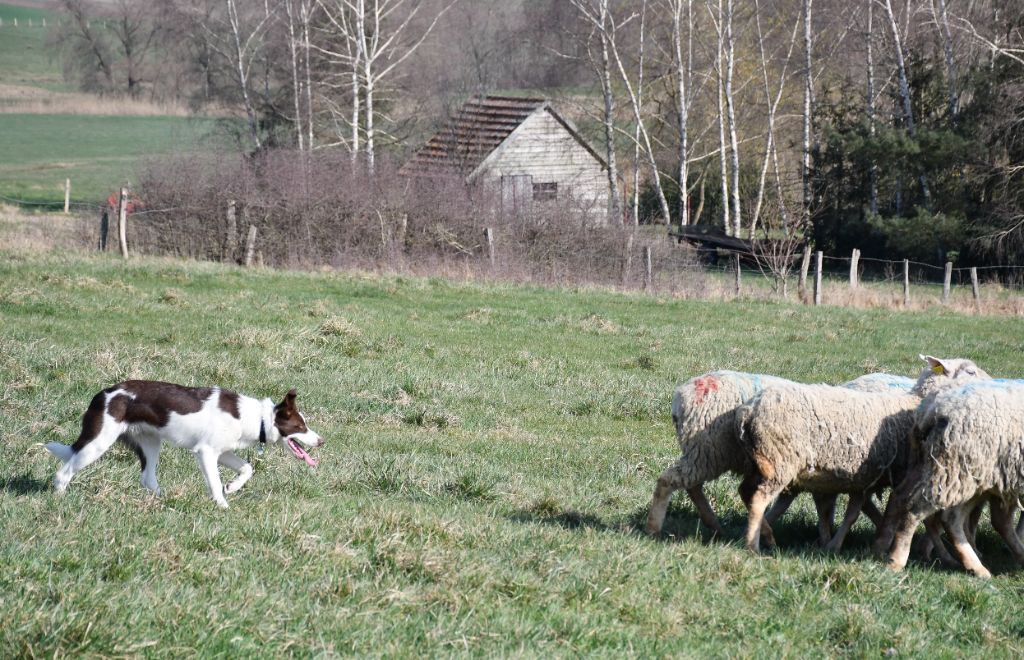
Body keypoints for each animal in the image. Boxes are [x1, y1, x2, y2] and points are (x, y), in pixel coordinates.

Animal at [45, 378, 319, 507]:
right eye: (301, 427)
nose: (321, 440)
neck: (256, 418)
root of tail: (103, 393)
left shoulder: (222, 451)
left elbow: (247, 468)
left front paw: (233, 487)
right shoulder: (206, 452)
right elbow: (215, 483)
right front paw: (223, 505)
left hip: (151, 443)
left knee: (147, 478)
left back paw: (164, 500)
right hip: (98, 442)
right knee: (64, 471)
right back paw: (59, 498)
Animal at [643, 370, 917, 540]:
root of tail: (682, 397)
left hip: (704, 451)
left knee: (692, 484)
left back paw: (718, 526)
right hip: (711, 449)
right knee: (674, 480)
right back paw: (655, 527)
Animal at [737, 356, 991, 552]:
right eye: (970, 371)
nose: (992, 383)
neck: (916, 401)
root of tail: (751, 408)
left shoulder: (866, 476)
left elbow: (854, 512)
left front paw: (836, 544)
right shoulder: (894, 474)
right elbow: (888, 510)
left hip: (769, 462)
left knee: (747, 492)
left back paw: (762, 534)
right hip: (780, 461)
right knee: (761, 498)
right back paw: (754, 544)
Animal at [880, 380, 1024, 577]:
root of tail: (933, 409)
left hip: (944, 469)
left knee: (904, 498)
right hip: (956, 470)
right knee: (922, 512)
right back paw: (897, 560)